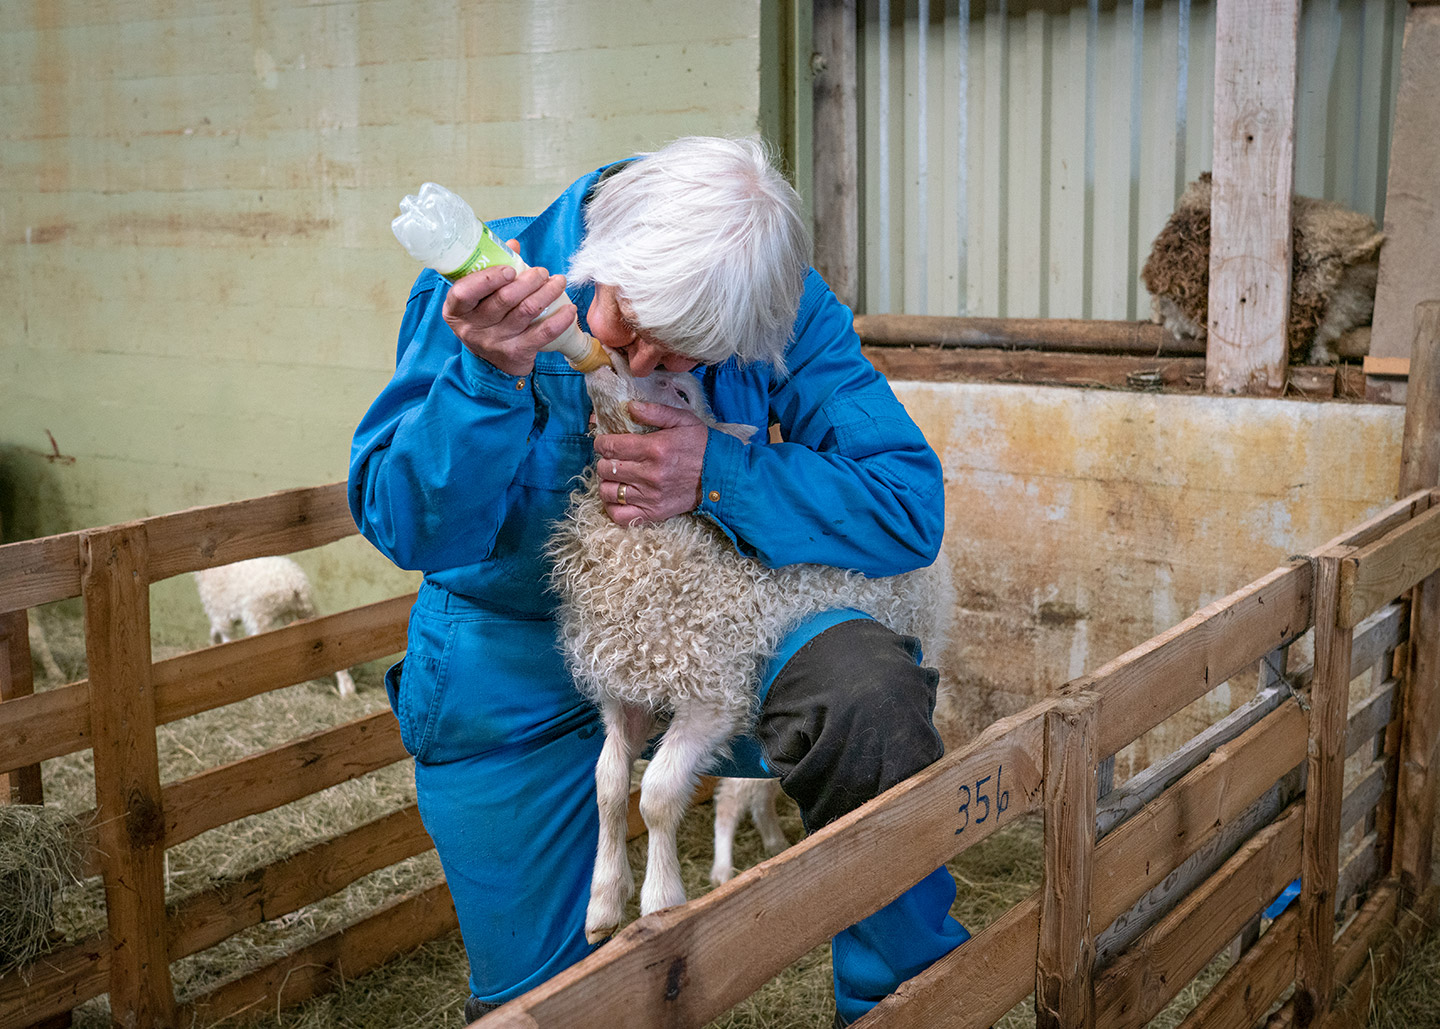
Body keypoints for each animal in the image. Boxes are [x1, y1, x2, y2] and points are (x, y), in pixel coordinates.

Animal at [191, 555, 357, 699]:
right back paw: (347, 691)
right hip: (305, 610)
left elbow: (227, 641)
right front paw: (213, 642)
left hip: (259, 616)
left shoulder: (221, 613)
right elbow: (215, 631)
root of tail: (293, 584)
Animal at [550, 356, 956, 944]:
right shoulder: (628, 689)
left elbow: (657, 795)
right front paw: (604, 903)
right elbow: (607, 786)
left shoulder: (711, 697)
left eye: (680, 391)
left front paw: (660, 903)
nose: (609, 364)